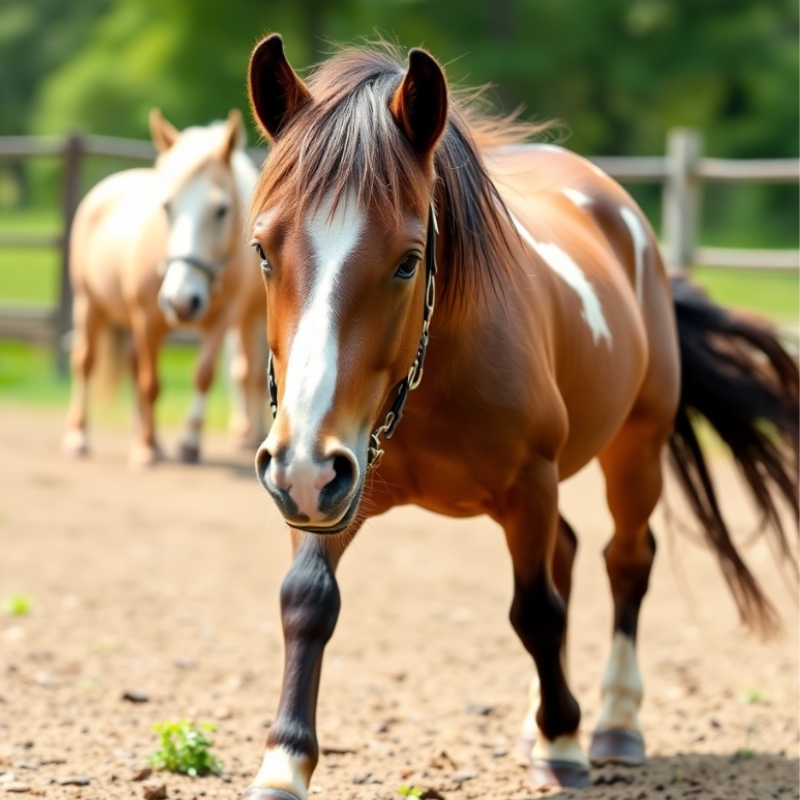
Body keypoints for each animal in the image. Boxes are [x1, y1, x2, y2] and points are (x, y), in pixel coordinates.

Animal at [62, 109, 268, 466]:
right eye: (166, 207)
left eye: (221, 209)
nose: (182, 302)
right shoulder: (147, 318)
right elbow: (150, 383)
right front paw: (145, 449)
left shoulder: (223, 319)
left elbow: (203, 374)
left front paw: (188, 443)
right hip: (88, 304)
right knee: (85, 362)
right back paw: (80, 437)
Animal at [244, 37, 800, 792]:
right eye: (262, 250)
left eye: (408, 261)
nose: (299, 466)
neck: (430, 379)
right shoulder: (334, 483)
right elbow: (306, 599)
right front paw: (285, 763)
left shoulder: (520, 482)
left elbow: (536, 610)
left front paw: (564, 744)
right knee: (567, 553)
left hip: (636, 449)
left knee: (626, 561)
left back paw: (612, 721)